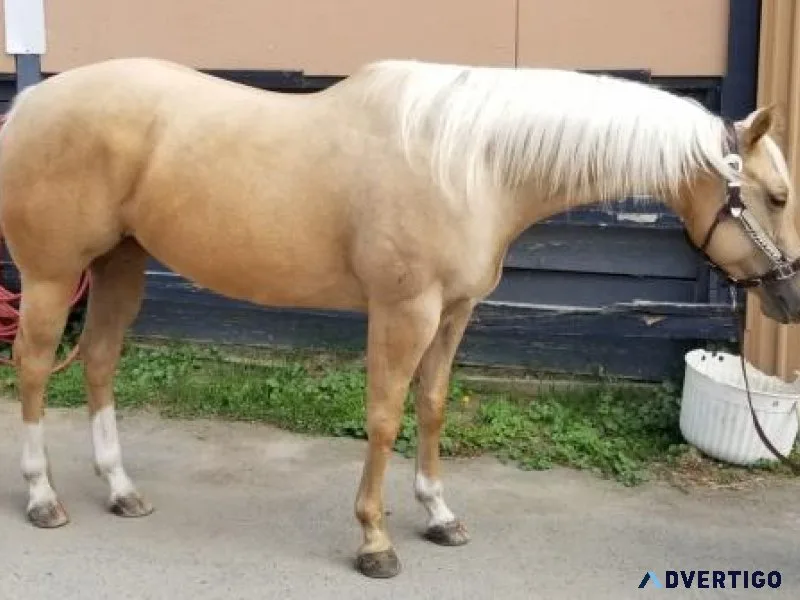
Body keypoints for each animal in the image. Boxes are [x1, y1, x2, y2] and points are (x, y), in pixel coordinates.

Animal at [0, 57, 798, 579]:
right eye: (777, 196)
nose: (789, 295)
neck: (472, 164)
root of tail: (28, 104)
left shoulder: (453, 312)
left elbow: (433, 404)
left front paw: (439, 516)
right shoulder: (403, 311)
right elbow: (385, 416)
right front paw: (375, 541)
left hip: (120, 266)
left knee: (99, 363)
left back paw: (121, 489)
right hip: (51, 279)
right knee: (34, 370)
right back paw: (42, 497)